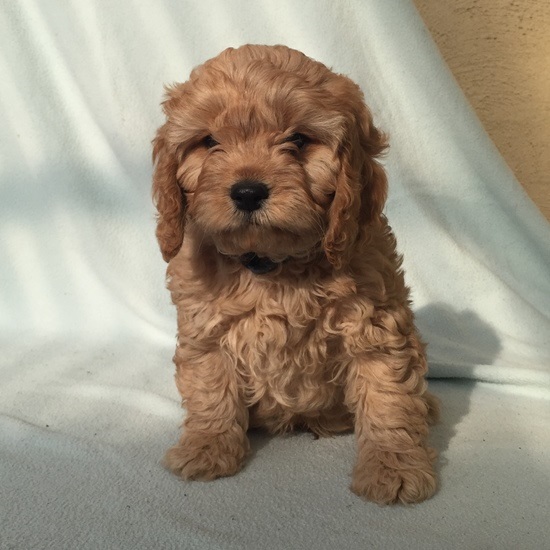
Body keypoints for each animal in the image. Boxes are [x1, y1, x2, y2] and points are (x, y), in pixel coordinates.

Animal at [154, 45, 440, 506]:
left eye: (299, 140)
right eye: (209, 142)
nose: (248, 191)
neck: (274, 267)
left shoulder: (376, 329)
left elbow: (388, 398)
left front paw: (393, 468)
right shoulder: (205, 332)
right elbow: (211, 389)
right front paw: (207, 448)